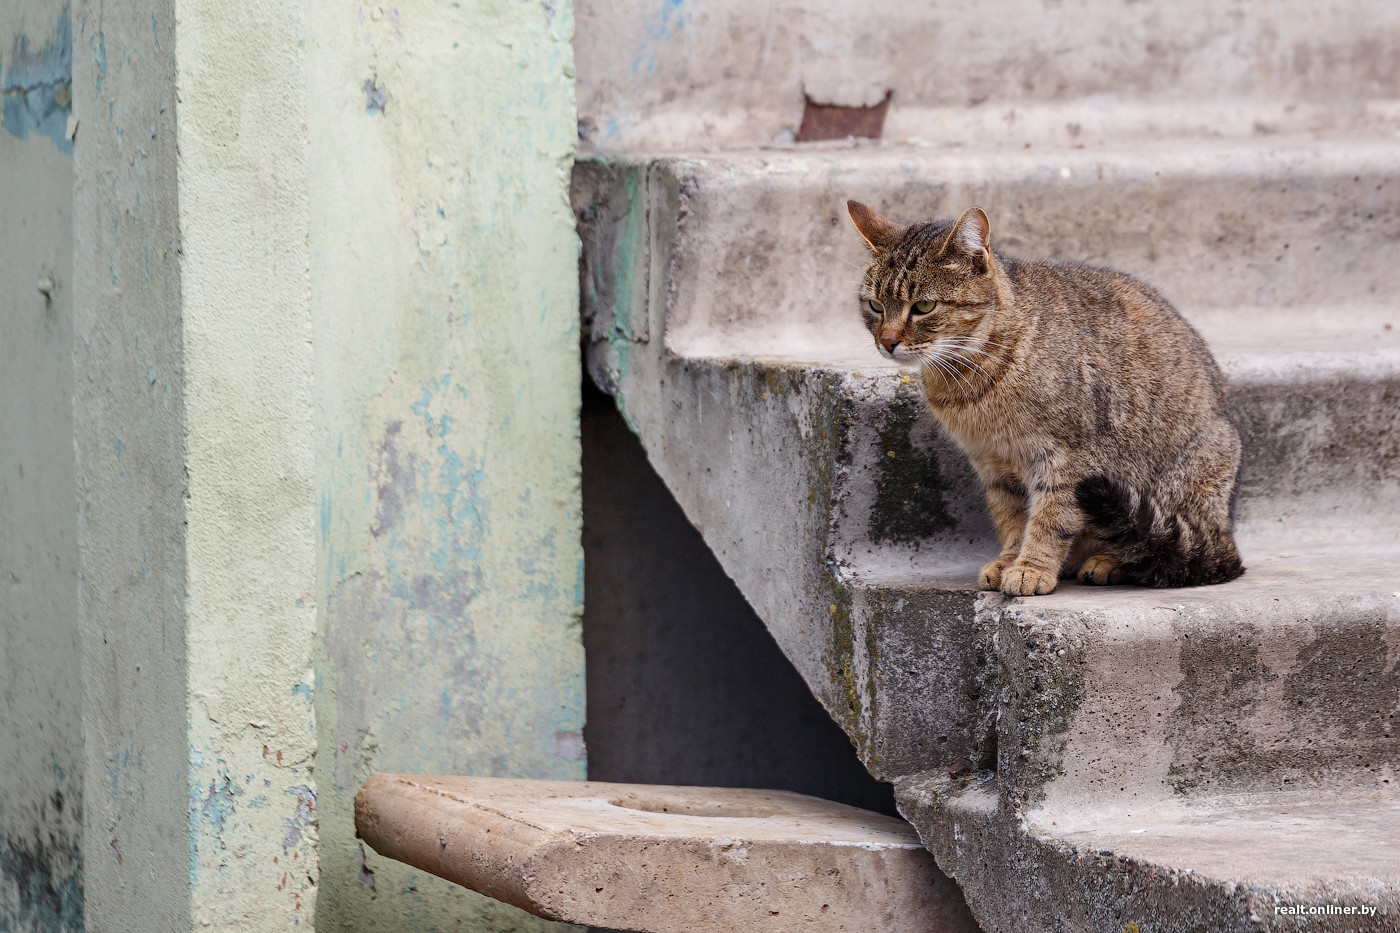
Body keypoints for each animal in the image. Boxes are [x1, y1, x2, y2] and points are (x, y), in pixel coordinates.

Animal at [845, 203, 1243, 596]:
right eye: (876, 306)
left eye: (924, 306)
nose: (887, 342)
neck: (971, 381)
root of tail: (1227, 530)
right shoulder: (993, 463)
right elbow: (1010, 518)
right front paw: (1008, 560)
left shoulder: (1070, 458)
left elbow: (1052, 517)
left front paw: (1031, 568)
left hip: (1188, 475)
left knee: (1162, 548)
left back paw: (1108, 562)